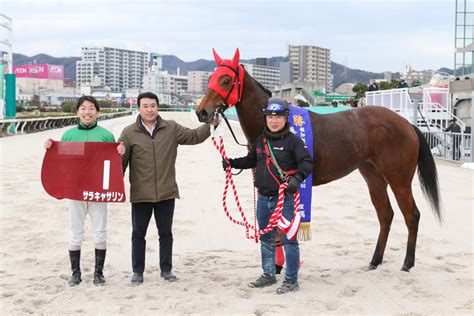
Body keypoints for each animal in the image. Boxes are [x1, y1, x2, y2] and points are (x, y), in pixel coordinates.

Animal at [196, 48, 440, 272]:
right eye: (211, 77)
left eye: (226, 80)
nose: (201, 112)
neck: (277, 127)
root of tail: (406, 123)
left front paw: (279, 268)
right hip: (374, 178)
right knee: (385, 215)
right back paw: (375, 260)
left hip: (399, 181)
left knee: (412, 216)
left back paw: (407, 263)